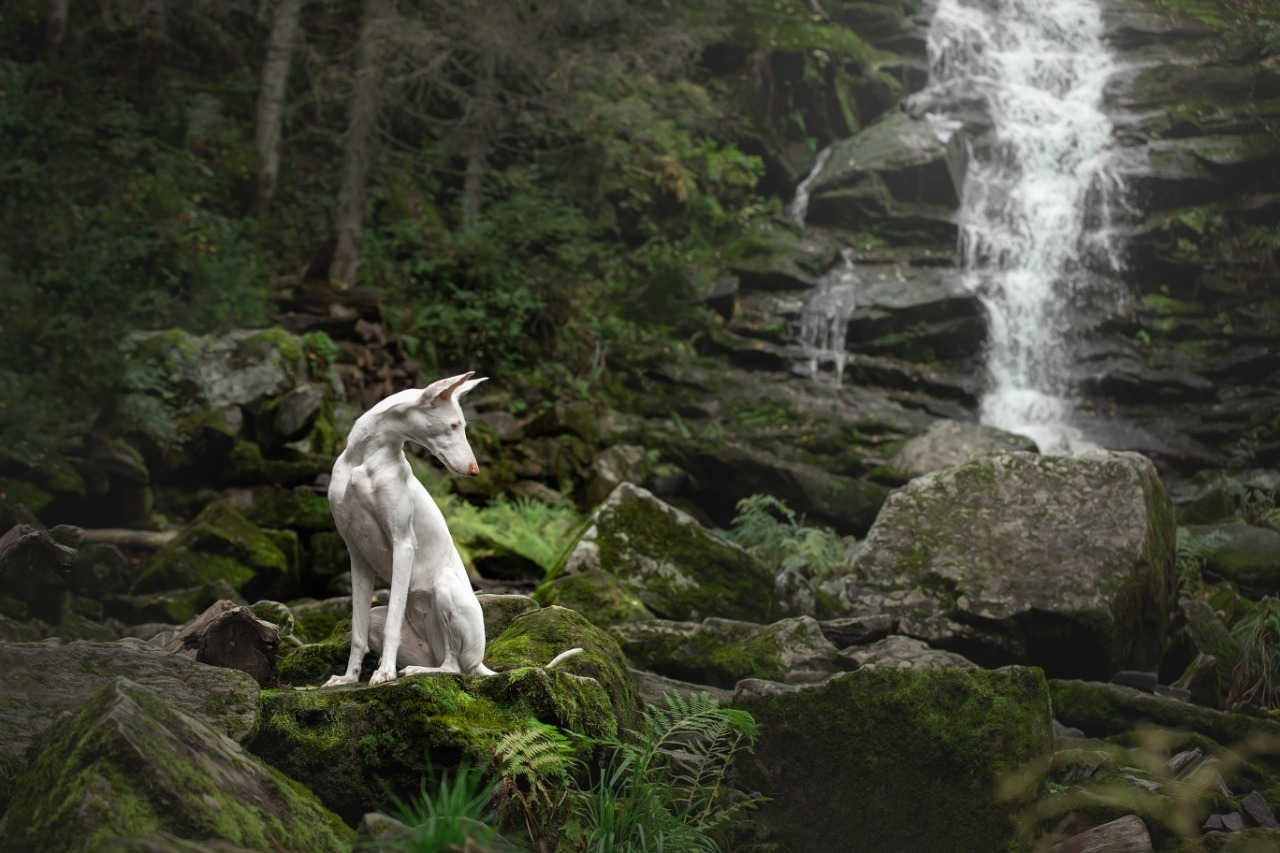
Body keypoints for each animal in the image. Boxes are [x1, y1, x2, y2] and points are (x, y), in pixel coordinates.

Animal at [320, 371, 581, 686]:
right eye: (454, 425)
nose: (475, 471)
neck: (366, 459)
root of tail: (479, 661)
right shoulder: (357, 555)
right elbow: (357, 633)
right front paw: (348, 677)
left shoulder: (402, 544)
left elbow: (393, 623)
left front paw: (384, 673)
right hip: (385, 622)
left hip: (445, 588)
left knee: (453, 667)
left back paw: (414, 671)